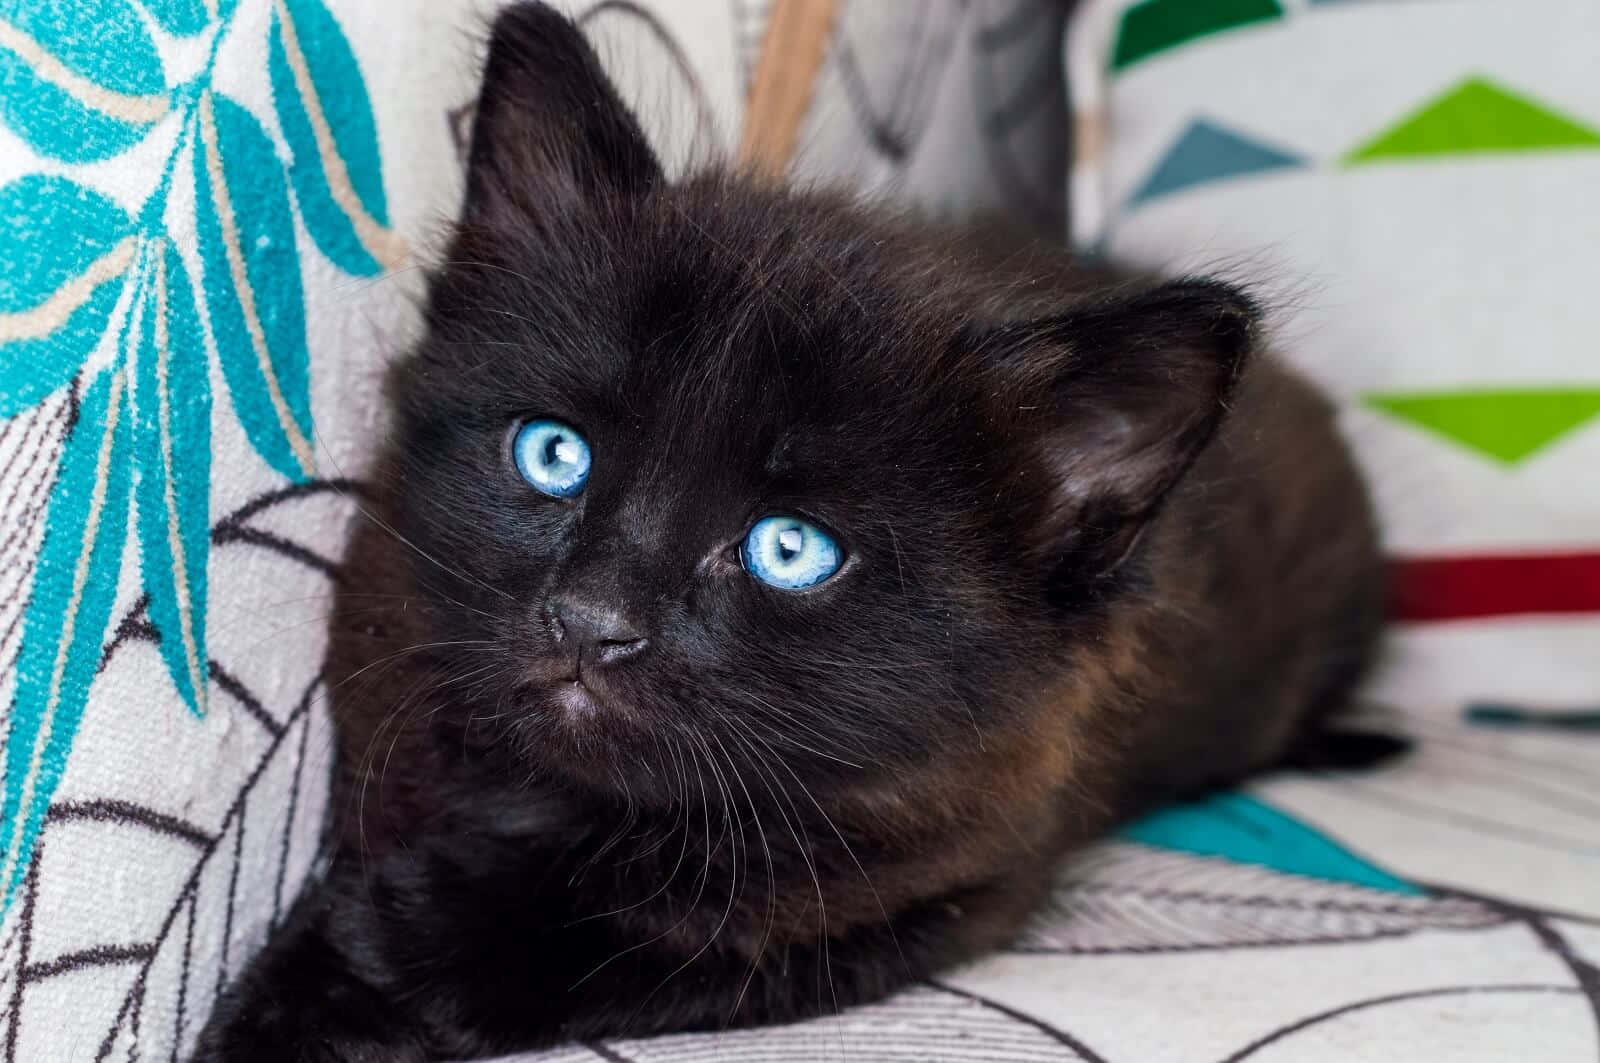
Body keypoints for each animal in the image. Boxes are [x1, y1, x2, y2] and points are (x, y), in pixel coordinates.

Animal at [193, 4, 1382, 1056]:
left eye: (789, 549)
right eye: (554, 454)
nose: (590, 620)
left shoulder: (944, 887)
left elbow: (607, 941)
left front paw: (336, 984)